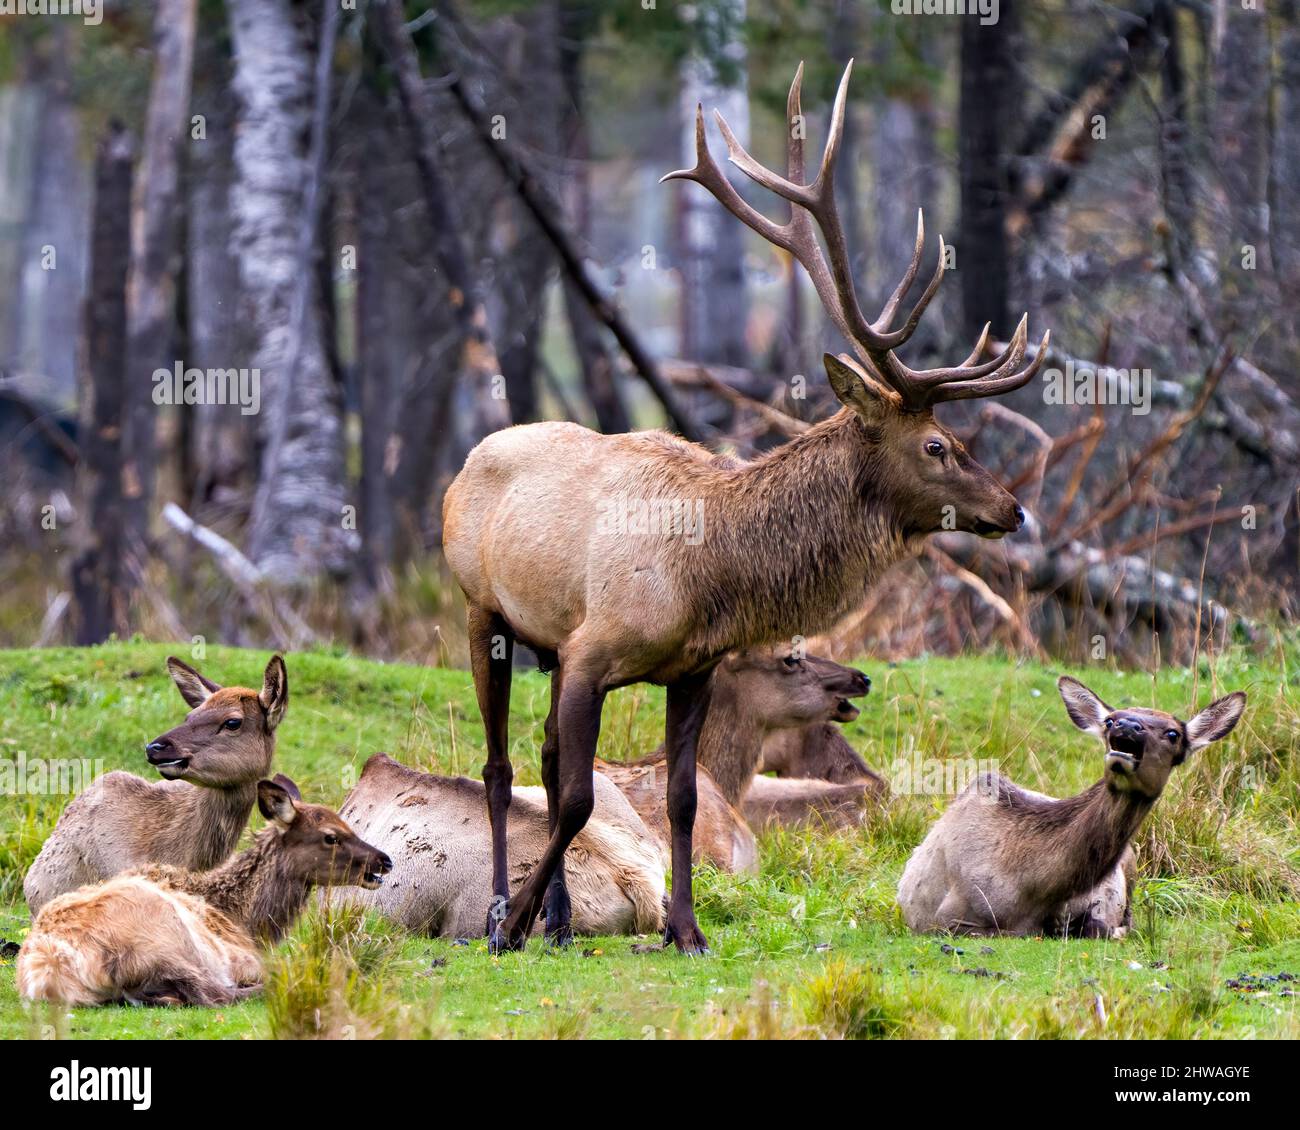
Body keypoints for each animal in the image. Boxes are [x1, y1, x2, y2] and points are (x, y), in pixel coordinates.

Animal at [17, 777, 391, 1006]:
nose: (384, 861)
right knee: (215, 993)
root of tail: (48, 968)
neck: (246, 922)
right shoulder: (241, 958)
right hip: (168, 939)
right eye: (331, 836)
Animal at [441, 60, 1049, 953]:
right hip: (481, 608)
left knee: (545, 760)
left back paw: (558, 921)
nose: (1012, 509)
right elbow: (581, 795)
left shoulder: (689, 668)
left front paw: (686, 931)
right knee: (501, 766)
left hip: (545, 642)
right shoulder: (593, 648)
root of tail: (465, 463)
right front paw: (511, 923)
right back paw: (502, 913)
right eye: (938, 445)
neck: (710, 574)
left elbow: (685, 797)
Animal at [896, 677, 1247, 938]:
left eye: (1173, 733)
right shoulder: (946, 918)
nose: (1126, 724)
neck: (1032, 890)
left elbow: (1105, 928)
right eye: (1109, 720)